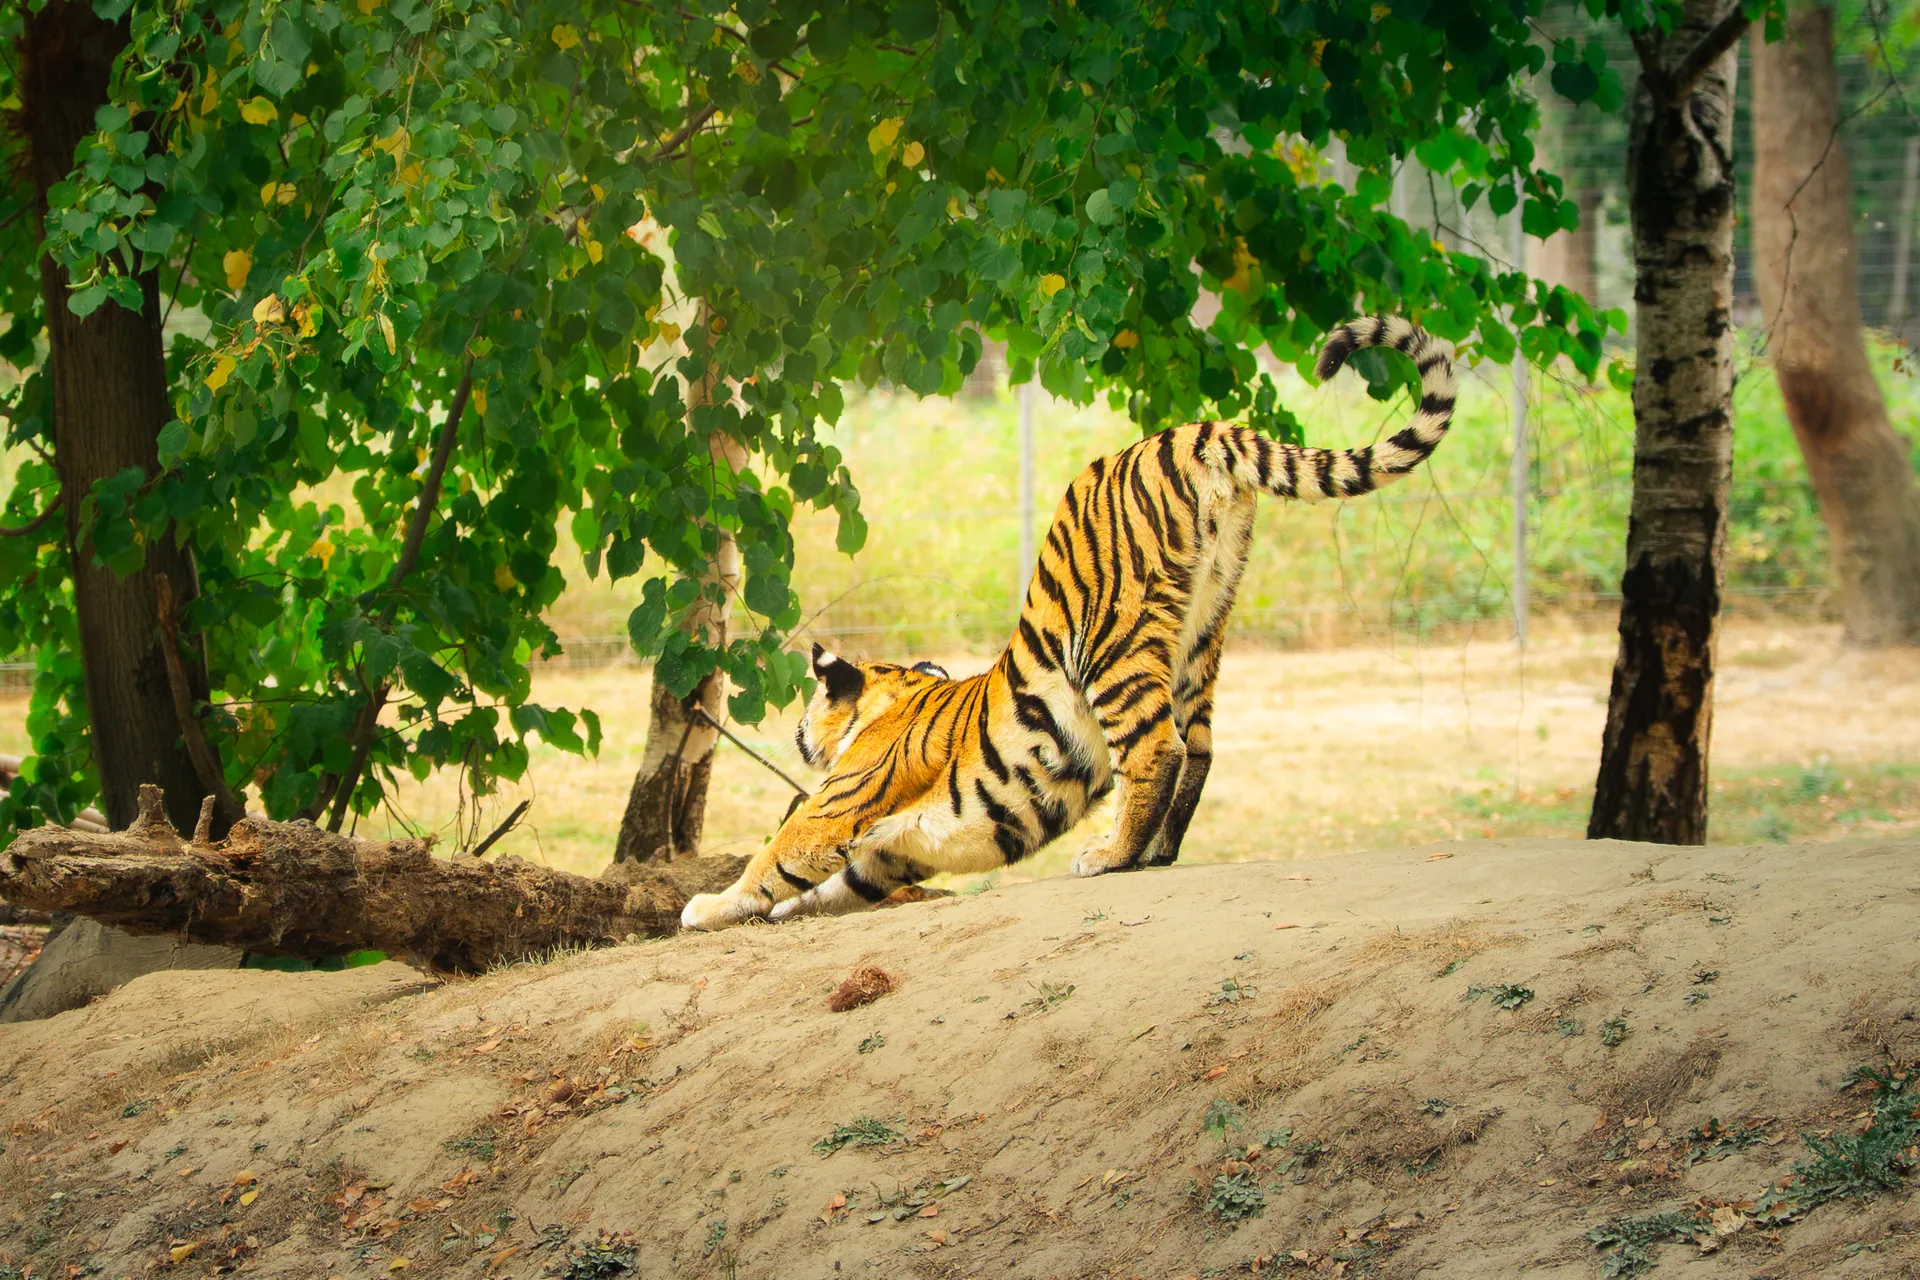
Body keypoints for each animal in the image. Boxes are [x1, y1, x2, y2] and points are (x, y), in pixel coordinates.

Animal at [681, 315, 1455, 931]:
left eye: (812, 700)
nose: (796, 733)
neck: (890, 698)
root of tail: (1191, 431)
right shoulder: (888, 855)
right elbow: (829, 888)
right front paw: (780, 911)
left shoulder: (839, 807)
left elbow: (773, 858)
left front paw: (708, 906)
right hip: (1205, 627)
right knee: (1201, 748)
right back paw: (1156, 854)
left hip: (1113, 644)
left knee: (1157, 749)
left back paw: (1111, 856)